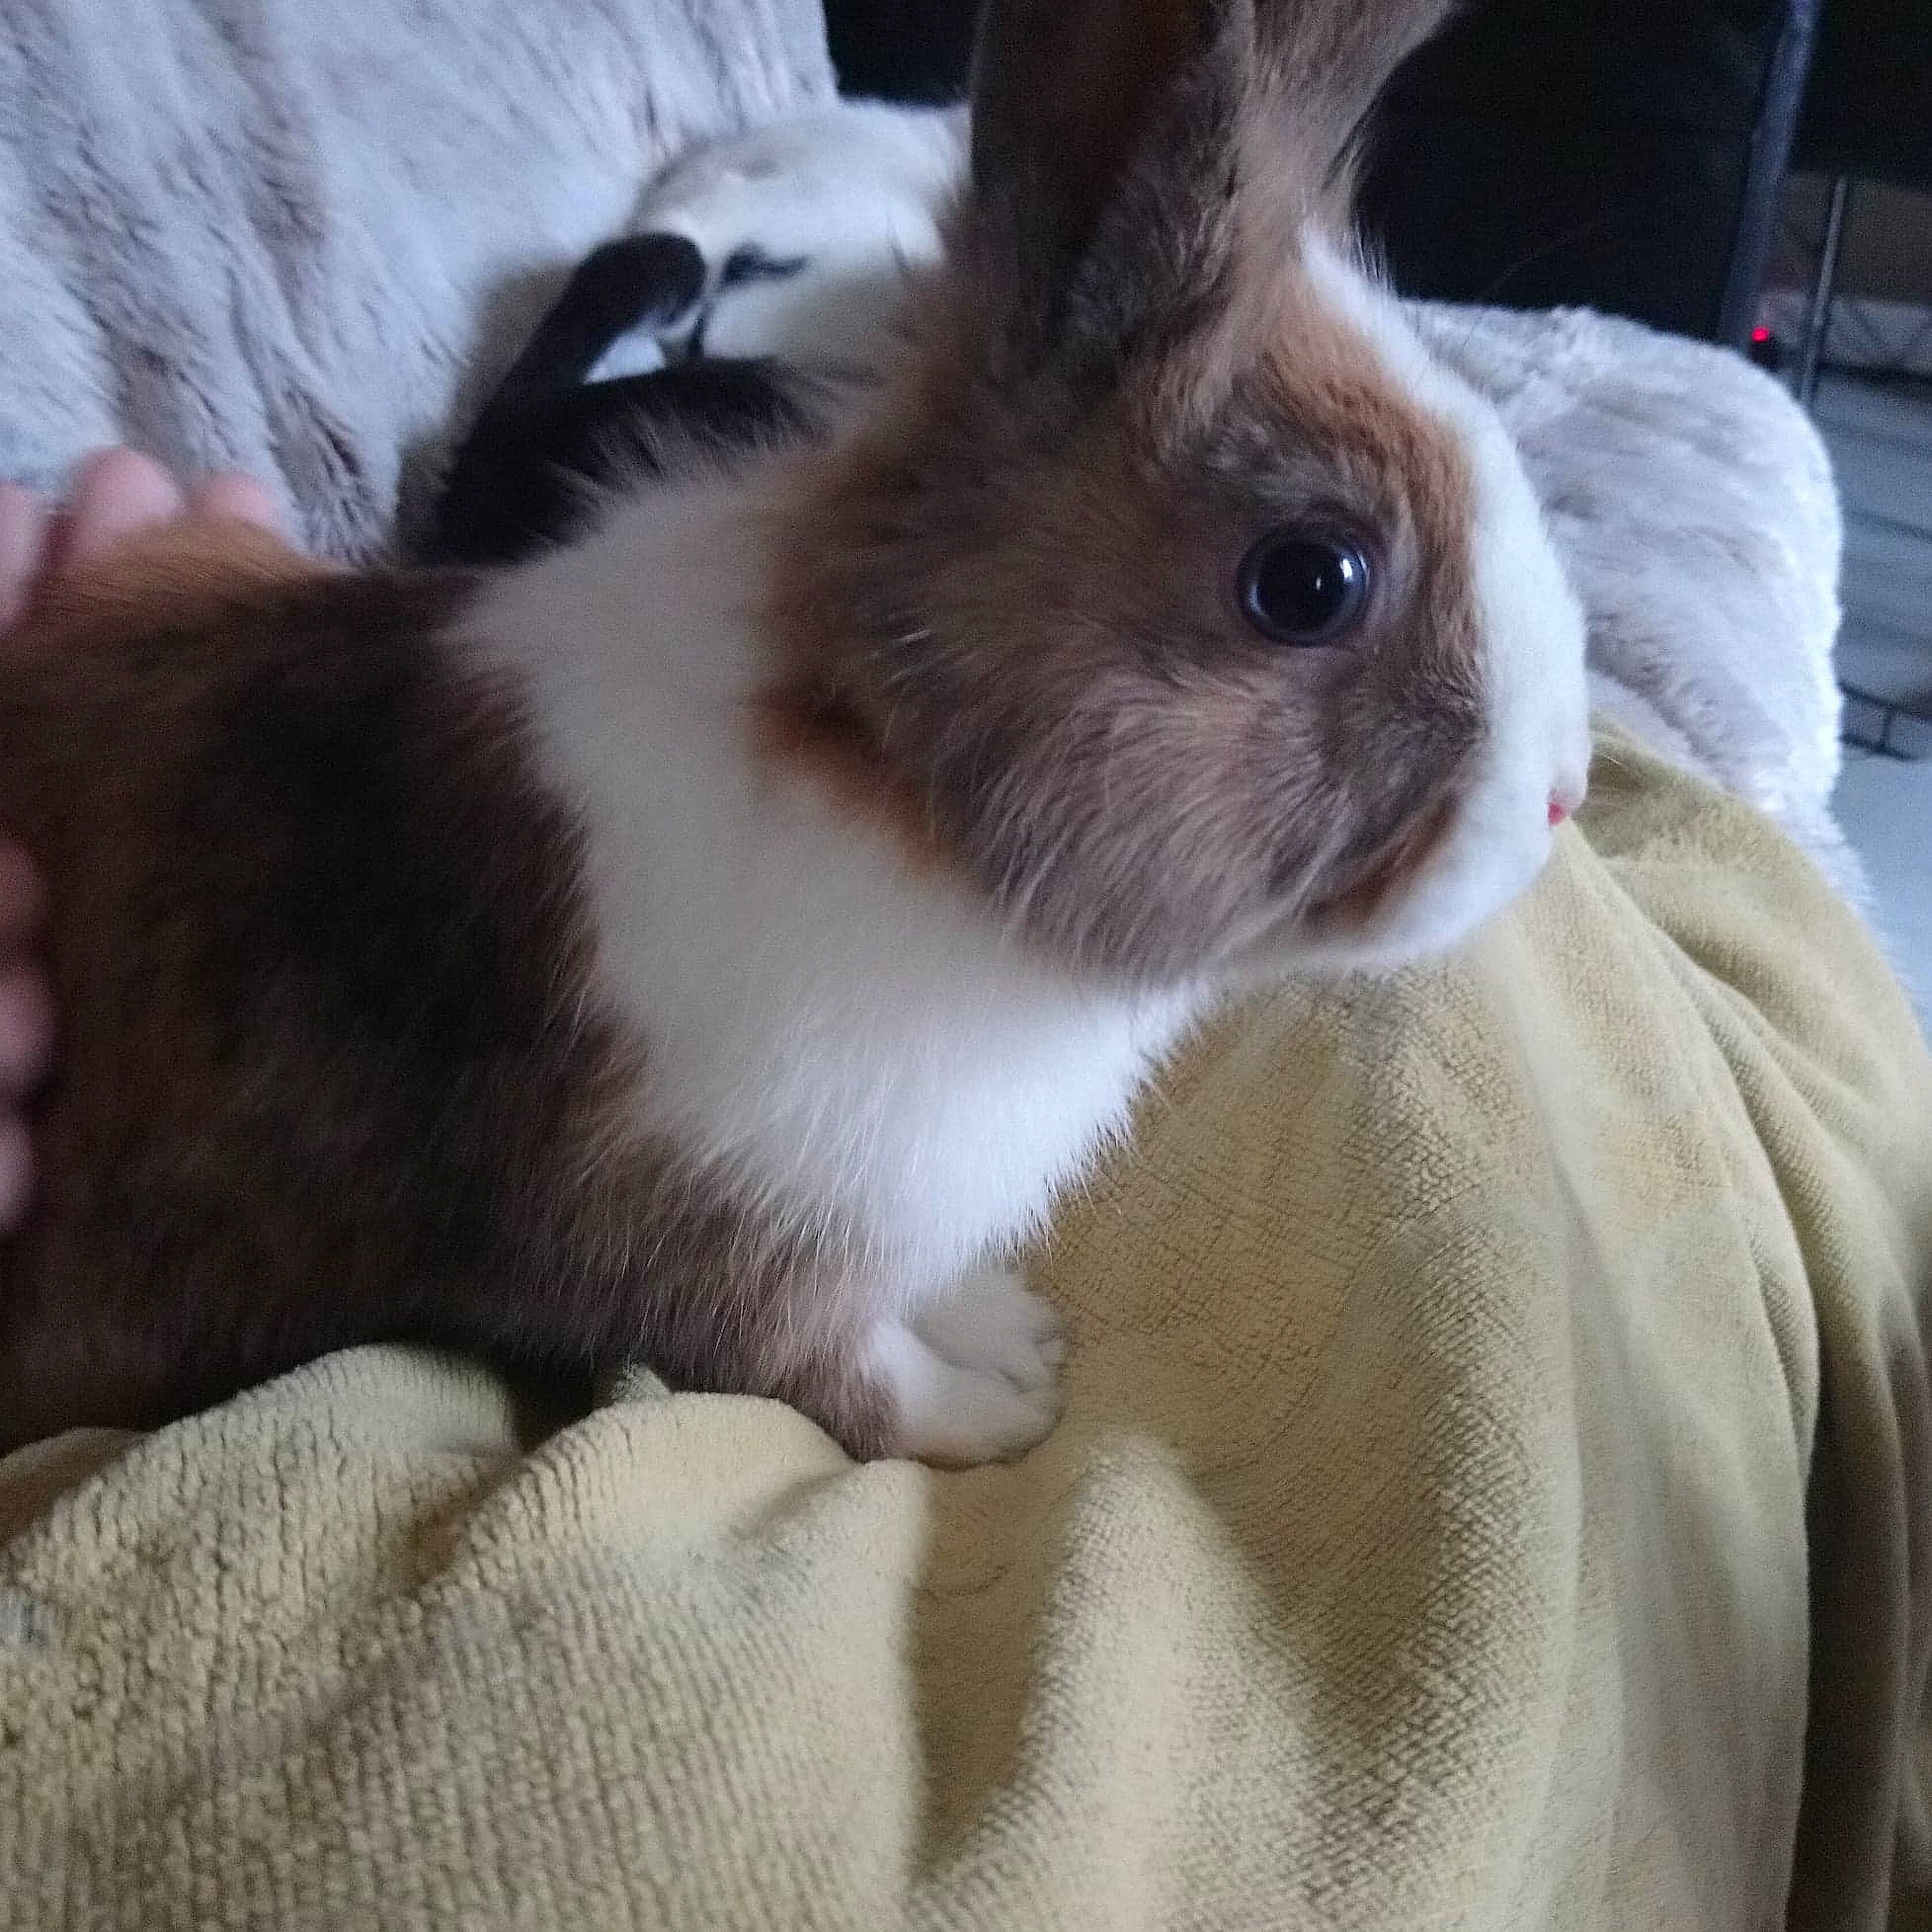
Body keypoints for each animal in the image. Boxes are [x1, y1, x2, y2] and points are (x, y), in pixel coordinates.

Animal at [0, 0, 1591, 1466]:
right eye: (1311, 580)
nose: (1562, 798)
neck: (885, 759)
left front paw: (1000, 1324)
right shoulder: (717, 1243)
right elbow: (847, 1379)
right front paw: (1001, 1405)